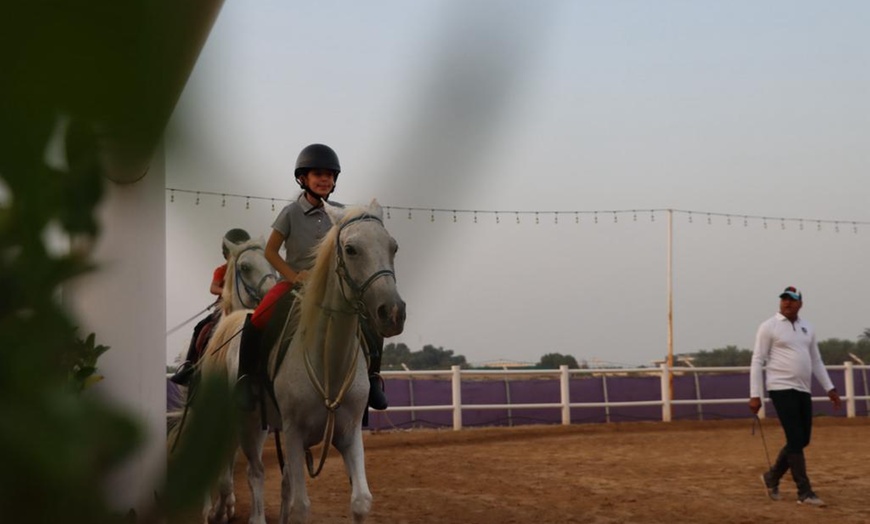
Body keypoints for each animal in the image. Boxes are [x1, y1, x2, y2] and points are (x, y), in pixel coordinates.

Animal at [200, 201, 406, 524]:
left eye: (393, 246)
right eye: (351, 249)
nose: (393, 312)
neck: (328, 362)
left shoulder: (349, 432)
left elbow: (360, 501)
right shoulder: (294, 433)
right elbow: (299, 505)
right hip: (245, 423)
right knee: (254, 472)